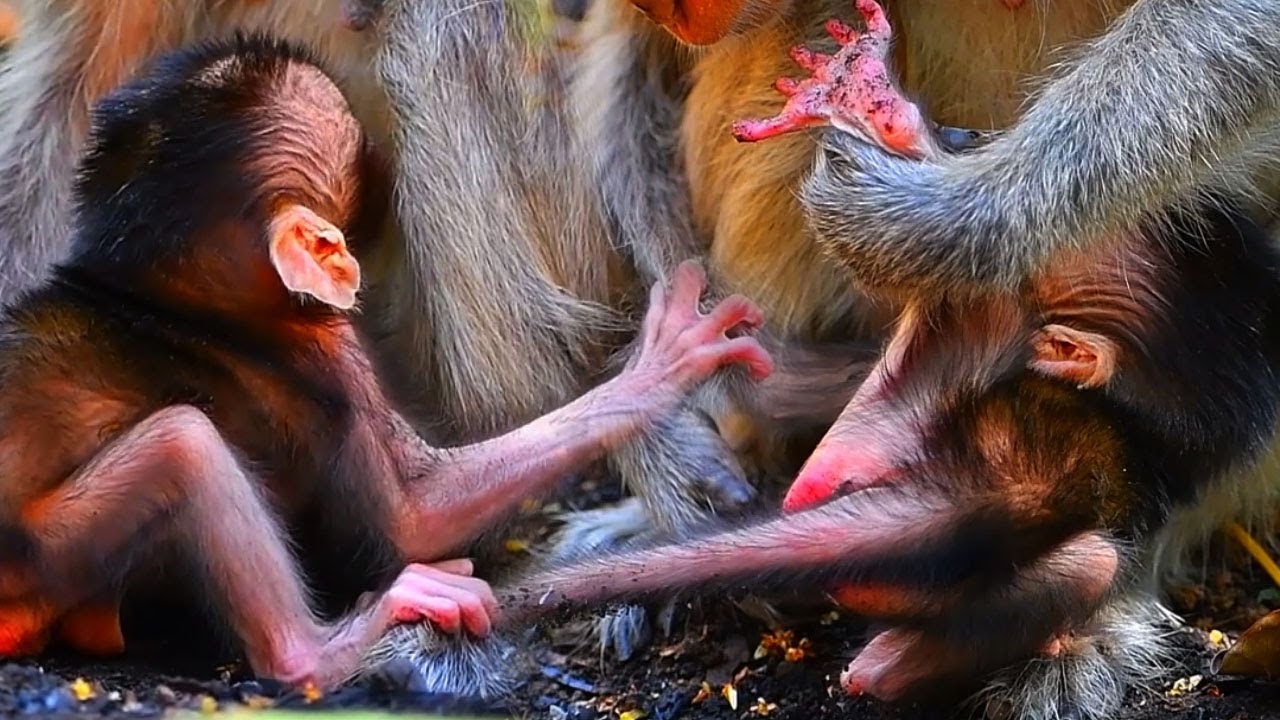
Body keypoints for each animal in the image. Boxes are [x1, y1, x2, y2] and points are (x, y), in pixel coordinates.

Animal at [0, 33, 773, 690]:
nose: (383, 150)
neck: (161, 285)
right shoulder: (328, 350)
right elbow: (414, 519)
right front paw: (656, 369)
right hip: (40, 556)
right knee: (184, 444)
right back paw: (325, 650)